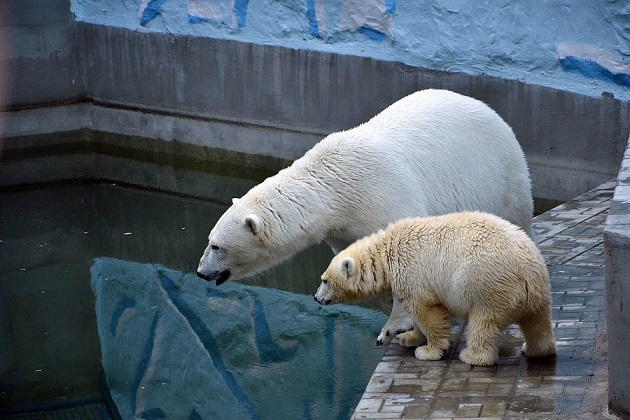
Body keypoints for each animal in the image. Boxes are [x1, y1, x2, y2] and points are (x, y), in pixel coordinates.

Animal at [198, 89, 532, 348]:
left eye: (216, 246)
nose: (201, 272)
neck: (335, 186)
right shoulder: (343, 228)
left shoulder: (382, 196)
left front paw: (397, 326)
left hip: (502, 174)